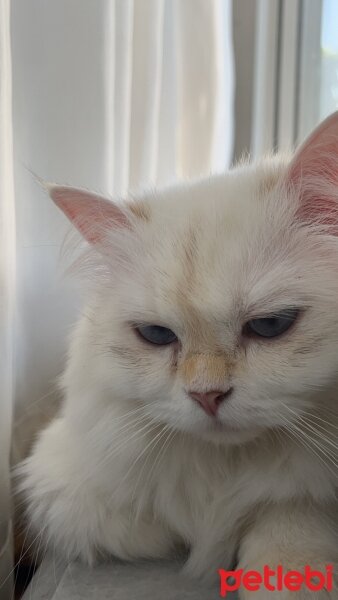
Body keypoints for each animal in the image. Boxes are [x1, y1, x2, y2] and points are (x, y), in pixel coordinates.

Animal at [17, 111, 338, 596]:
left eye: (271, 325)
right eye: (156, 335)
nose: (207, 396)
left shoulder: (307, 496)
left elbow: (290, 519)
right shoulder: (59, 481)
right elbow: (140, 526)